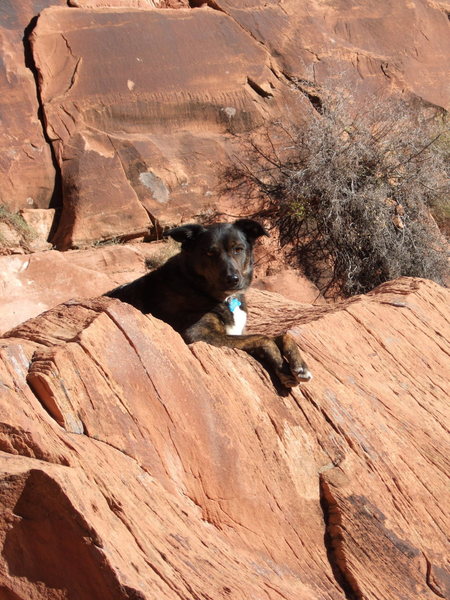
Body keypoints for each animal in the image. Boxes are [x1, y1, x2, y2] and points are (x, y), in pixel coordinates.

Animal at [105, 218, 312, 386]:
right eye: (209, 253)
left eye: (238, 249)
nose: (233, 279)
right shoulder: (198, 334)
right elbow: (264, 337)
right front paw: (282, 367)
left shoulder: (238, 332)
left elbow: (282, 335)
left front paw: (300, 365)